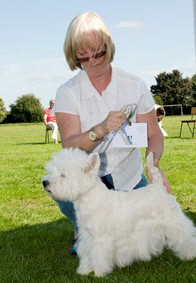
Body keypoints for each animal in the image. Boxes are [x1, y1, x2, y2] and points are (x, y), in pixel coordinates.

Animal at [43, 149, 196, 278]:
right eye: (52, 171)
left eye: (63, 174)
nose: (44, 182)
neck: (89, 200)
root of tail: (159, 187)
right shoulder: (87, 237)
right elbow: (86, 254)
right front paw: (84, 271)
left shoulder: (101, 239)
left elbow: (98, 255)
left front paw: (99, 273)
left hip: (173, 222)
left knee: (185, 237)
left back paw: (189, 255)